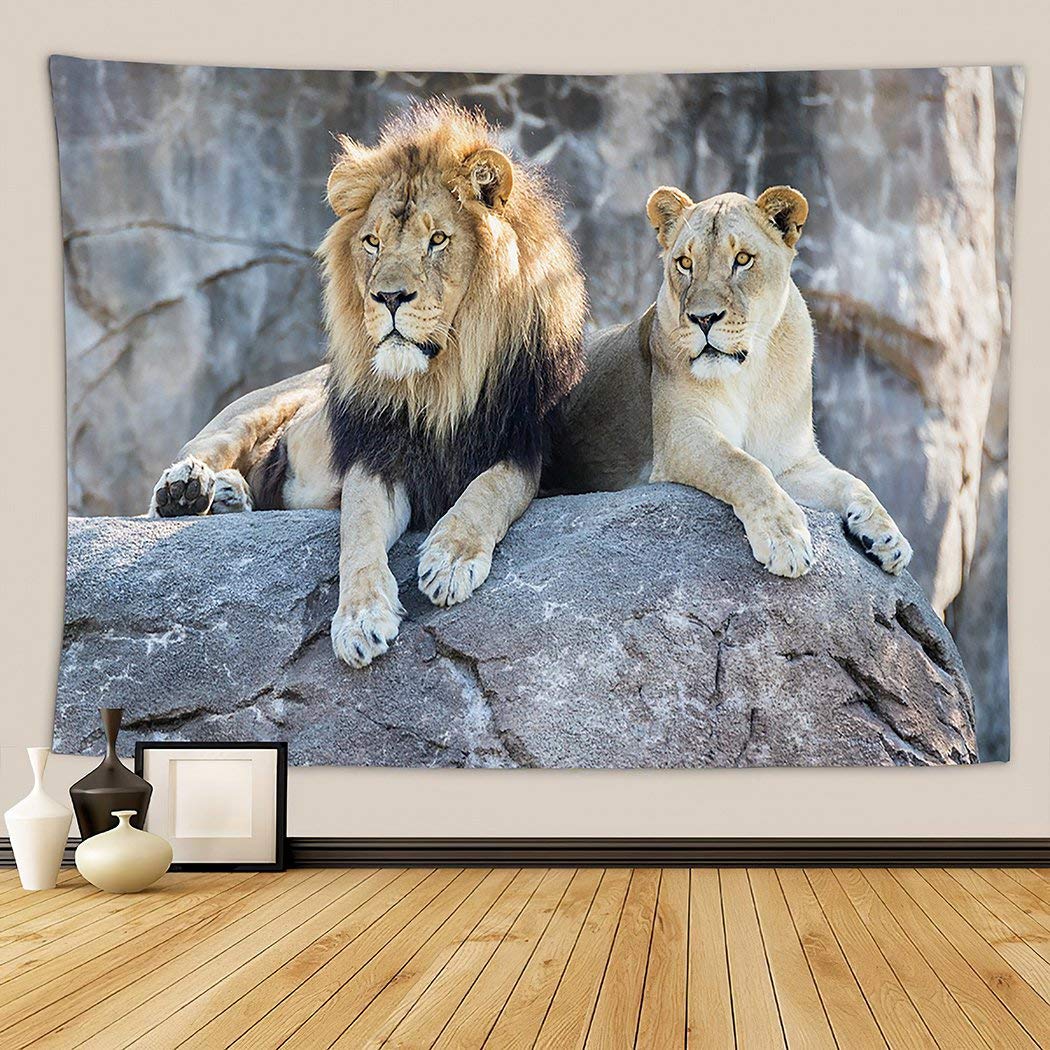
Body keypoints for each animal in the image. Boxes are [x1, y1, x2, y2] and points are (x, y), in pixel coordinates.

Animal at [148, 101, 587, 667]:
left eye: (437, 239)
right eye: (372, 242)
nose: (389, 297)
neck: (438, 382)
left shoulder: (523, 446)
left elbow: (490, 490)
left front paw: (450, 558)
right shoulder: (375, 455)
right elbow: (357, 532)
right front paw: (359, 619)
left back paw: (227, 495)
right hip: (258, 406)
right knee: (203, 450)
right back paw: (187, 489)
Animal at [550, 184, 912, 578]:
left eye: (742, 259)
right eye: (685, 263)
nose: (703, 318)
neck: (750, 373)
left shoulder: (791, 461)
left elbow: (852, 481)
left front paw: (888, 537)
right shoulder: (683, 437)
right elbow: (743, 467)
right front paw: (785, 539)